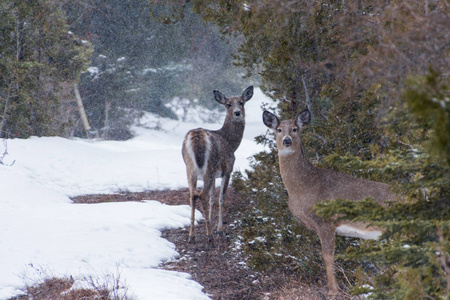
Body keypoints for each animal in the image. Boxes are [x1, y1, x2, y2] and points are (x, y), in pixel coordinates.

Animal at [182, 85, 253, 243]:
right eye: (228, 104)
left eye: (241, 102)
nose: (237, 113)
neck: (230, 142)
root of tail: (197, 138)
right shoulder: (227, 170)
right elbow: (221, 198)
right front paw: (219, 229)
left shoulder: (215, 175)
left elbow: (212, 199)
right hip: (209, 167)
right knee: (201, 195)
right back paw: (209, 235)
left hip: (190, 169)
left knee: (193, 196)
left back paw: (192, 235)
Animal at [264, 109, 398, 296]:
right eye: (278, 129)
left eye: (295, 129)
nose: (287, 140)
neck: (304, 185)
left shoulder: (326, 221)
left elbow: (328, 255)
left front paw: (333, 290)